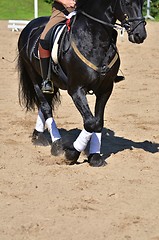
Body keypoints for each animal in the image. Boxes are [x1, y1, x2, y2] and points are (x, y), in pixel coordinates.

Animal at [17, 0, 147, 167]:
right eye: (126, 2)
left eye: (142, 3)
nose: (140, 34)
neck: (96, 40)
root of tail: (30, 25)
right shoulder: (76, 89)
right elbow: (91, 122)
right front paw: (71, 153)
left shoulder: (105, 89)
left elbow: (98, 122)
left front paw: (95, 157)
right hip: (36, 78)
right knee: (46, 107)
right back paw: (56, 144)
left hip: (53, 83)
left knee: (45, 103)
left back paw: (38, 136)